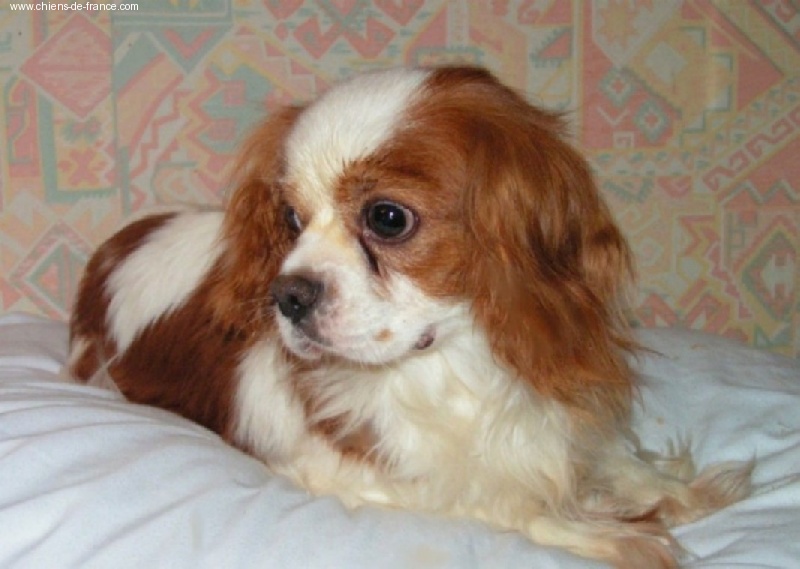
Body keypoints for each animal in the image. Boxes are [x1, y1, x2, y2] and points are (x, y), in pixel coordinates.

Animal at [69, 66, 751, 568]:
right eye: (290, 219)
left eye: (387, 218)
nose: (287, 294)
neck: (454, 363)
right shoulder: (340, 471)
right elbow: (494, 501)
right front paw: (614, 531)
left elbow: (607, 454)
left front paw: (676, 491)